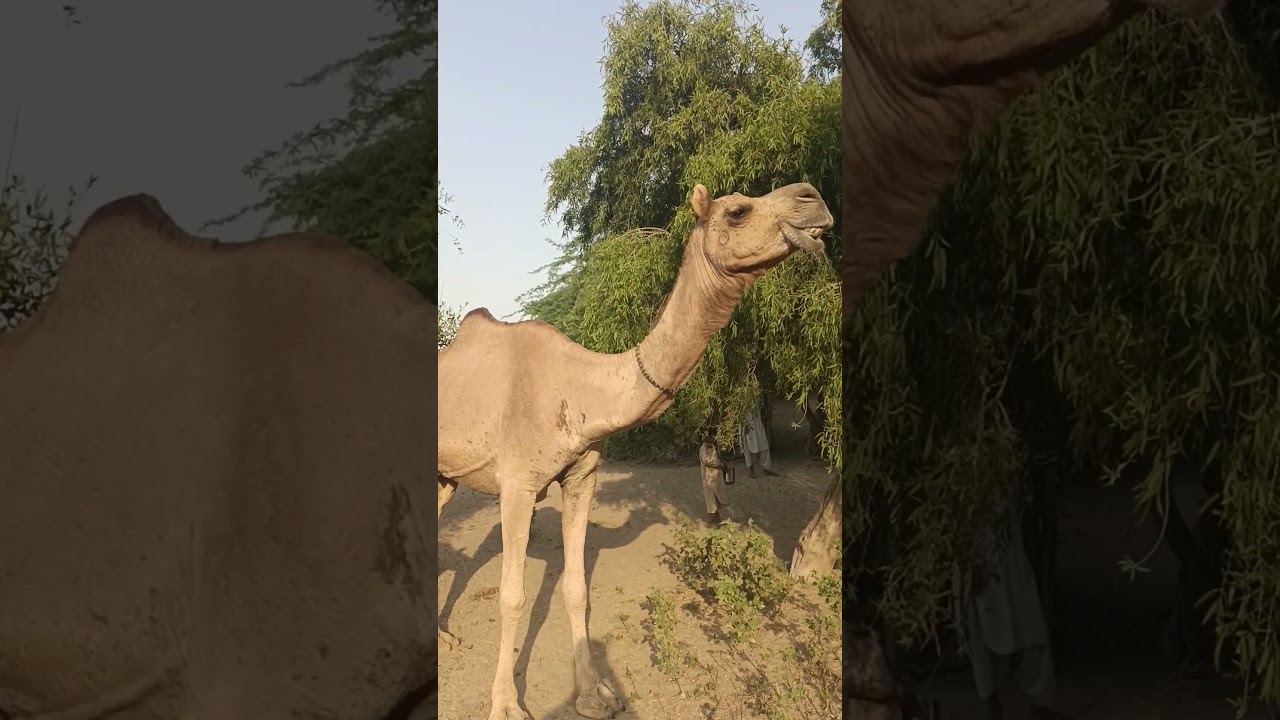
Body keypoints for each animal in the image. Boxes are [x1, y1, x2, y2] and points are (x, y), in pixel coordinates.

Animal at [437, 182, 833, 720]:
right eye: (737, 210)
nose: (813, 199)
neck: (581, 388)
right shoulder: (517, 485)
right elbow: (512, 596)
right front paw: (505, 705)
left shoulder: (582, 476)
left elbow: (576, 587)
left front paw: (594, 695)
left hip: (445, 475)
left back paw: (441, 640)